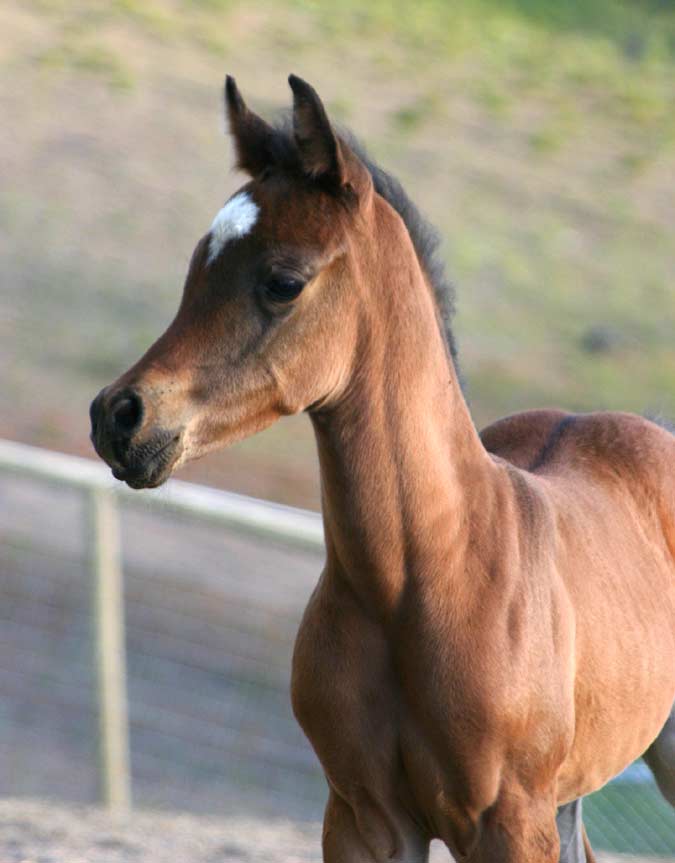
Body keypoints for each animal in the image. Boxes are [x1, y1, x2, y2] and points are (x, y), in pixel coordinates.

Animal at [91, 77, 675, 860]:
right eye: (197, 267)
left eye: (283, 281)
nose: (120, 417)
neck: (423, 577)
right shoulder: (362, 816)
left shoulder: (508, 823)